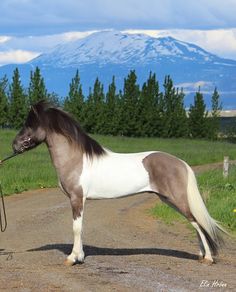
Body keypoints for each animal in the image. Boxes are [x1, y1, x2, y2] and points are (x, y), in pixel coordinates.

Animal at [12, 101, 225, 266]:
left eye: (30, 125)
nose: (14, 145)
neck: (76, 159)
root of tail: (181, 163)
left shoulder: (76, 198)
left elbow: (76, 228)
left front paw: (72, 258)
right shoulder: (80, 200)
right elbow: (81, 227)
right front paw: (80, 256)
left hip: (177, 200)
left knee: (198, 223)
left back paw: (207, 258)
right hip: (168, 200)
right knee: (196, 224)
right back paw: (200, 255)